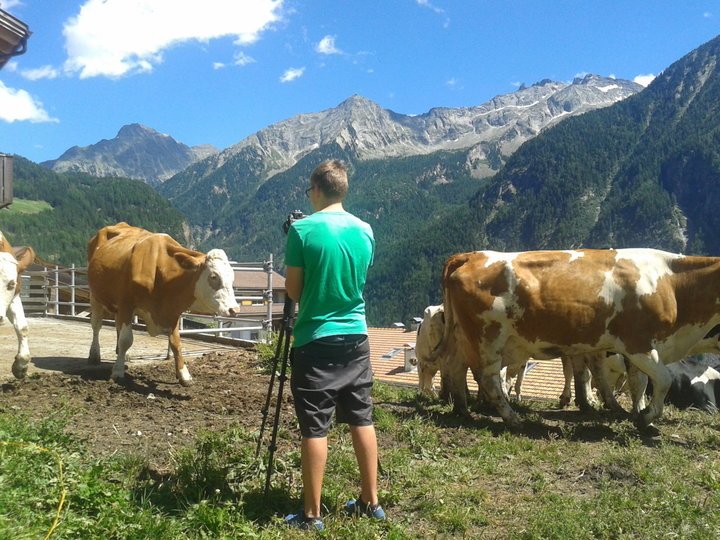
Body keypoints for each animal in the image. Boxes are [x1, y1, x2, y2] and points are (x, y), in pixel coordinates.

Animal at [87, 223, 239, 384]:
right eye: (214, 276)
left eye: (232, 278)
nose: (235, 309)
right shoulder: (126, 304)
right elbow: (126, 340)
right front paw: (117, 372)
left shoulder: (172, 312)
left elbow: (176, 343)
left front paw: (184, 374)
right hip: (95, 296)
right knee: (96, 325)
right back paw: (94, 355)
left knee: (116, 325)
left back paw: (122, 355)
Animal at [434, 249, 720, 430]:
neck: (672, 283)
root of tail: (471, 256)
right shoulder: (637, 343)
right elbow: (663, 379)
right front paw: (646, 417)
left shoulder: (642, 348)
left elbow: (638, 383)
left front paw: (634, 411)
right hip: (486, 337)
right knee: (488, 377)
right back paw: (512, 419)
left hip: (463, 335)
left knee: (454, 365)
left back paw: (462, 408)